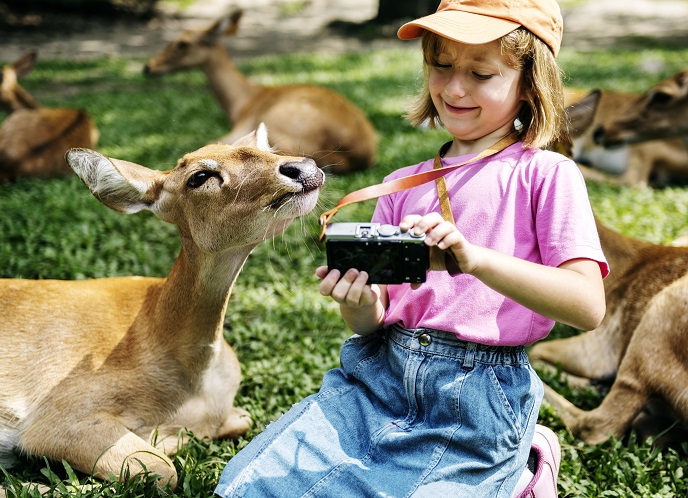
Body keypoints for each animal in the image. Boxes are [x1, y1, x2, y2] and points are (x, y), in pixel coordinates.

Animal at [0, 122, 324, 492]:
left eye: (267, 150)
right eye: (199, 176)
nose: (302, 168)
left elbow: (240, 419)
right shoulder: (60, 416)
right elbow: (164, 469)